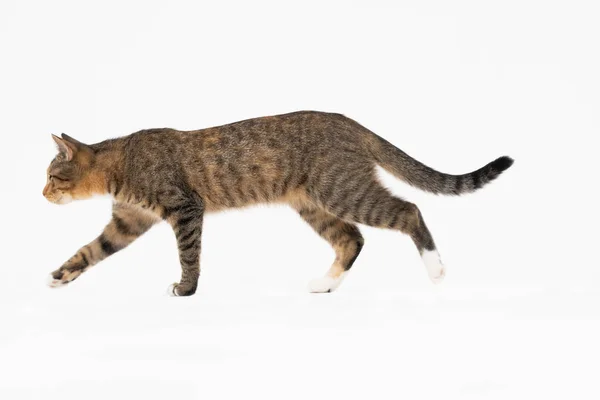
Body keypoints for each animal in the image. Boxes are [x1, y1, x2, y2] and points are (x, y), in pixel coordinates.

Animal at [44, 111, 512, 296]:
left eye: (50, 175)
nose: (42, 193)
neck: (121, 161)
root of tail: (351, 122)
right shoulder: (128, 221)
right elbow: (90, 250)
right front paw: (62, 275)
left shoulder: (185, 209)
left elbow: (189, 254)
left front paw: (187, 289)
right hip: (314, 203)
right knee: (352, 239)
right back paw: (326, 284)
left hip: (343, 191)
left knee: (408, 211)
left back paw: (435, 269)